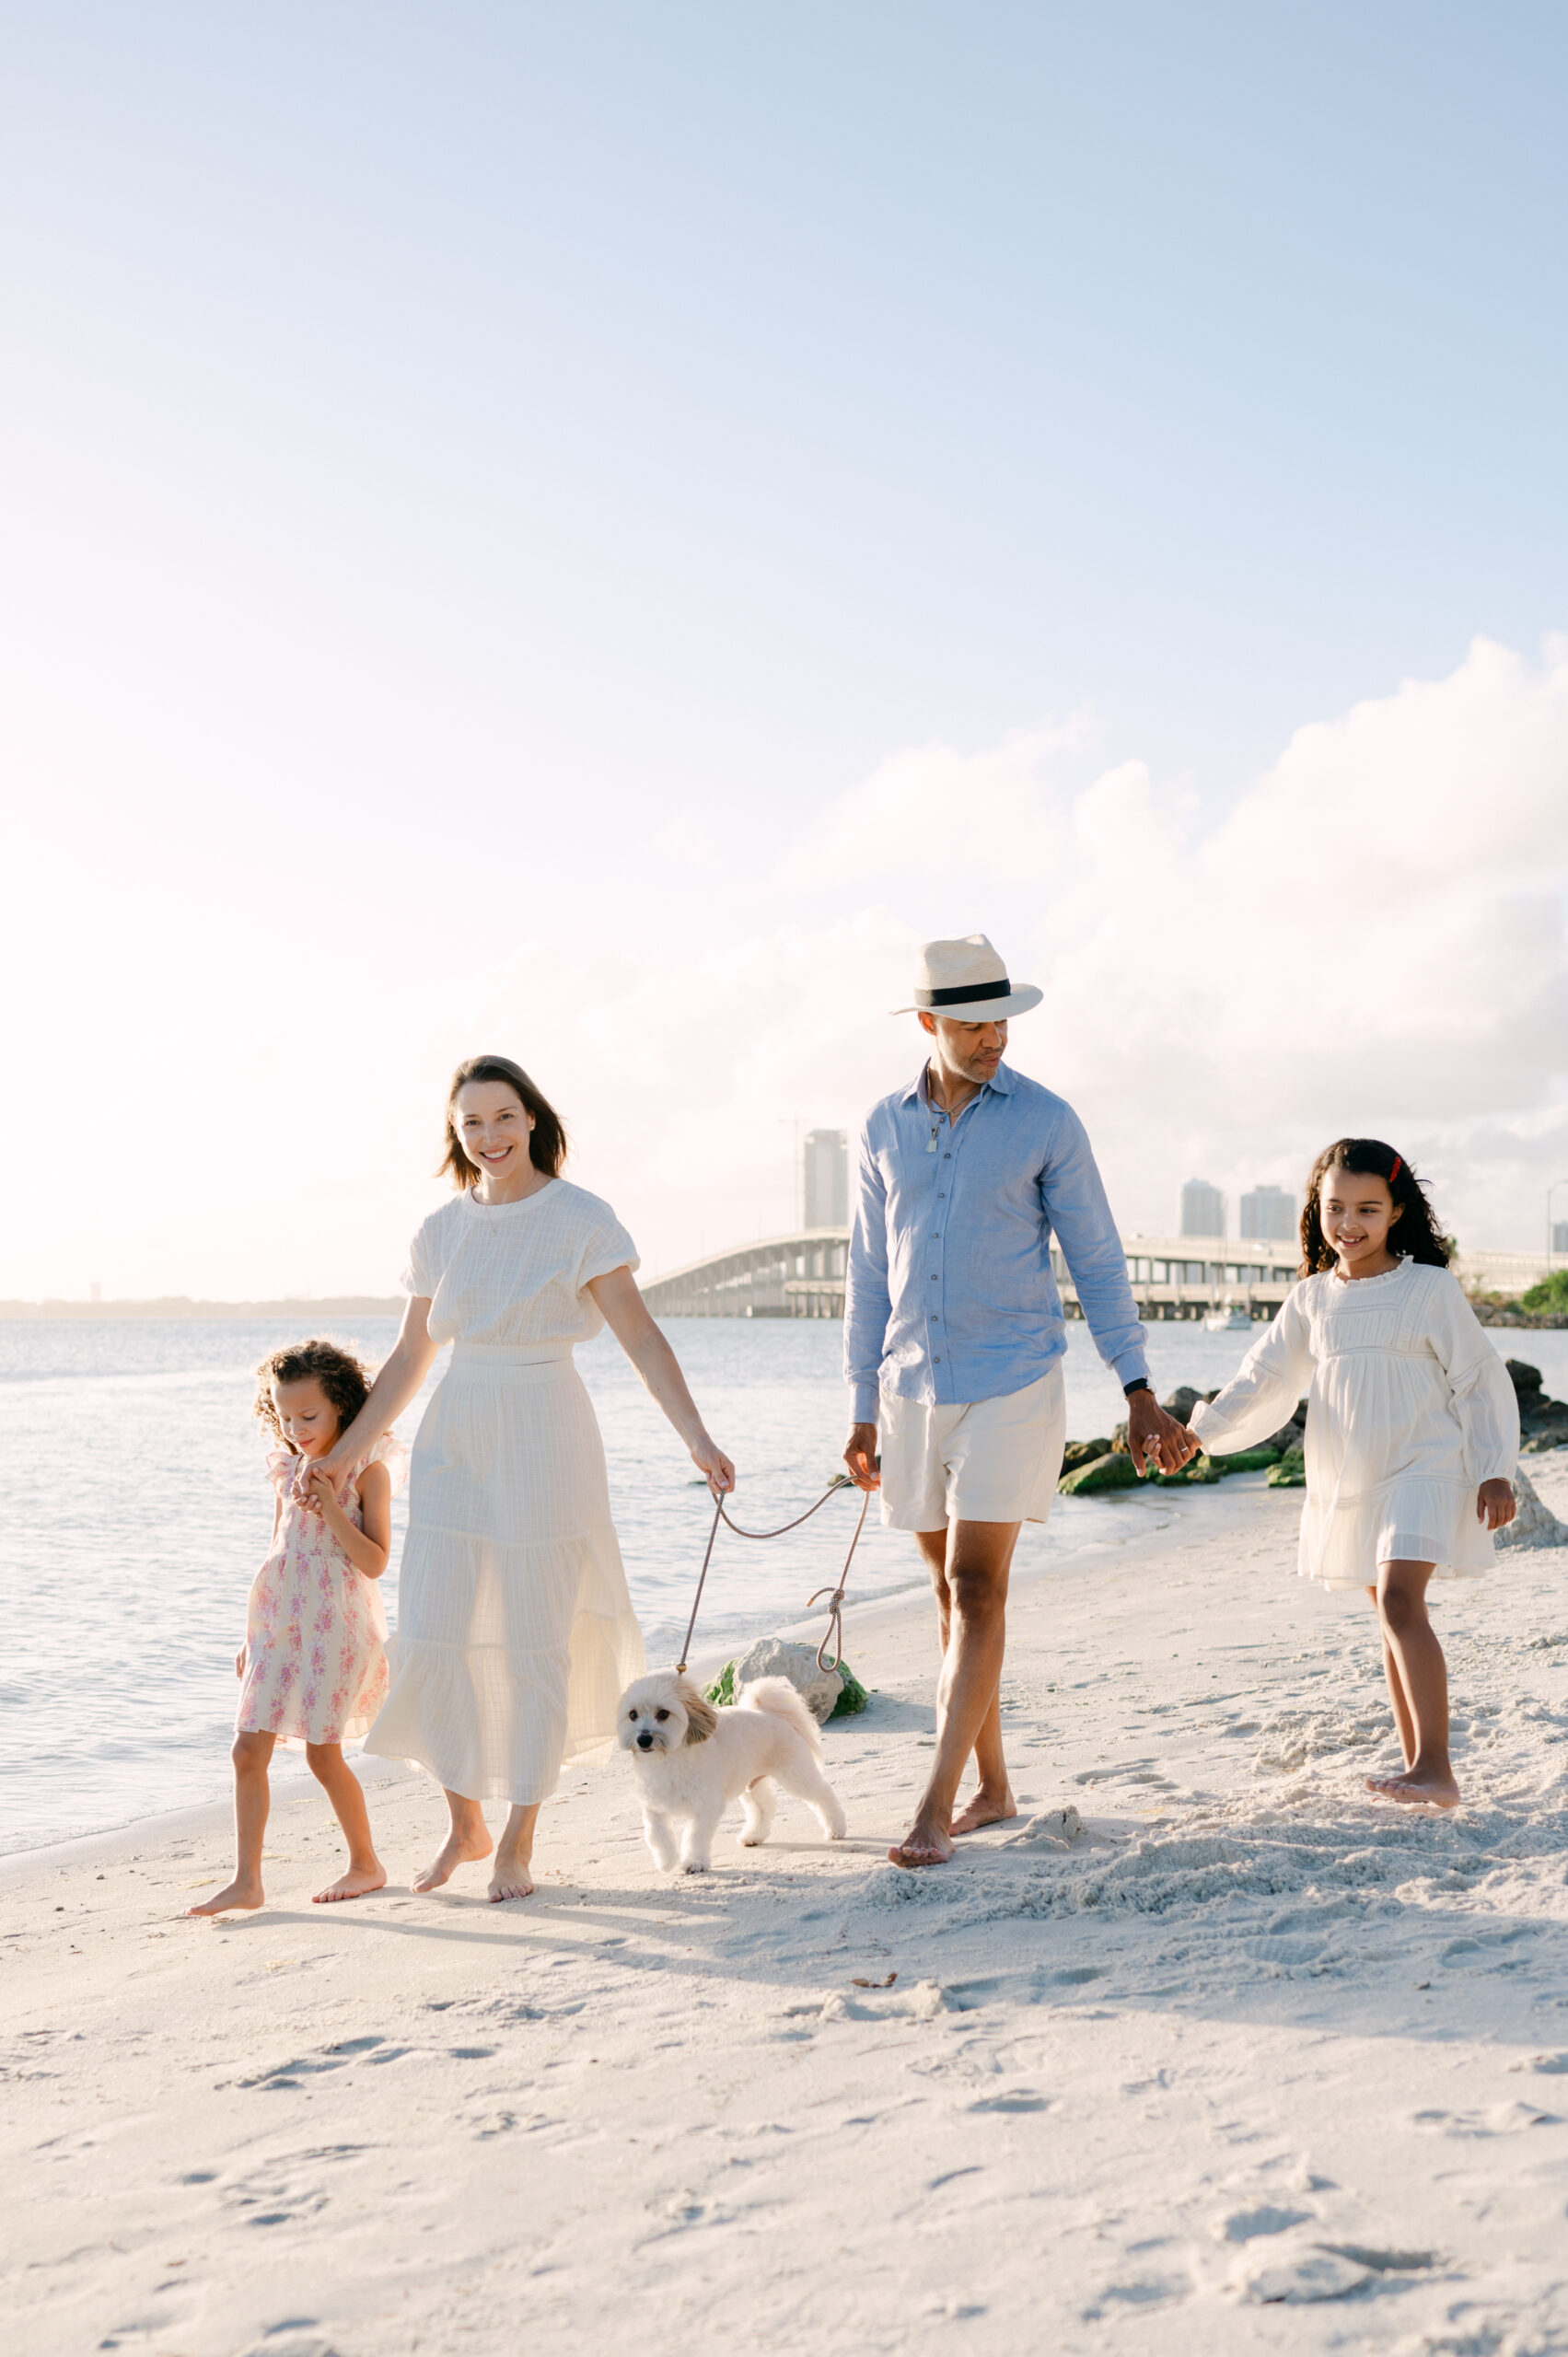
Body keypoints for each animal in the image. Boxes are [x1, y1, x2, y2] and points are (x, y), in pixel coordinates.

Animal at [617, 1678, 848, 1875]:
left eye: (663, 1714)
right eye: (633, 1715)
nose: (643, 1739)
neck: (669, 1760)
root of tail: (768, 1713)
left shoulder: (706, 1807)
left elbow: (694, 1835)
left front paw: (694, 1862)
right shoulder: (654, 1807)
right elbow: (657, 1835)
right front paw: (666, 1861)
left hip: (796, 1775)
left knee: (823, 1793)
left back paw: (836, 1828)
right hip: (751, 1784)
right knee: (763, 1808)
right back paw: (753, 1835)